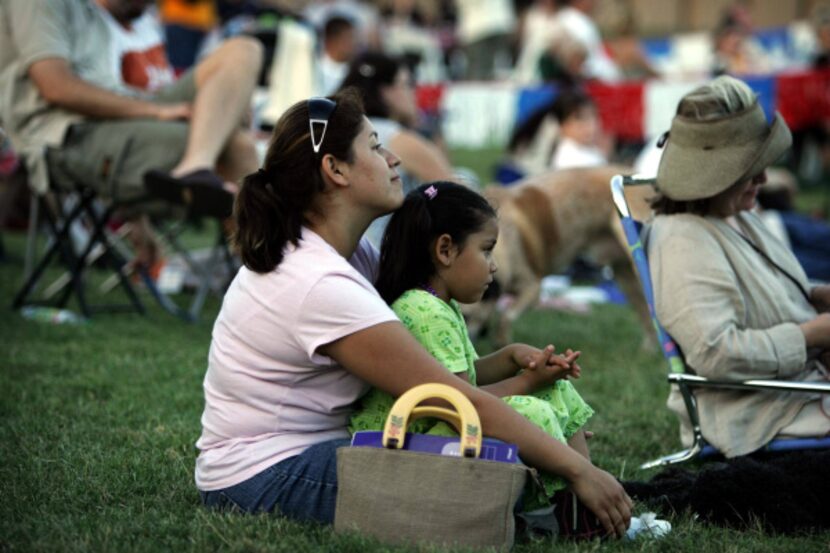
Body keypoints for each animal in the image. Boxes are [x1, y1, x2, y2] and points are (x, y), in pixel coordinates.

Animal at [468, 164, 656, 344]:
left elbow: (507, 314)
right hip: (624, 273)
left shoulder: (533, 289)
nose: (479, 336)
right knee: (646, 313)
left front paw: (501, 340)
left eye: (468, 316)